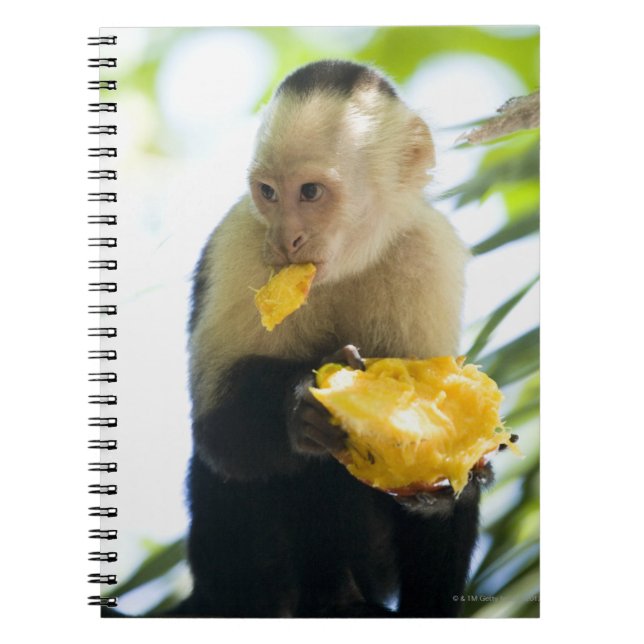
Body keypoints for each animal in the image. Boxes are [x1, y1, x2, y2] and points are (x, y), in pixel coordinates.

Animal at [181, 60, 491, 618]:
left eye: (310, 192)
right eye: (268, 192)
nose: (286, 240)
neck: (346, 264)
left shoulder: (426, 250)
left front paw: (453, 485)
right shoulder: (241, 245)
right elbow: (217, 434)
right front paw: (301, 403)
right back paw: (315, 597)